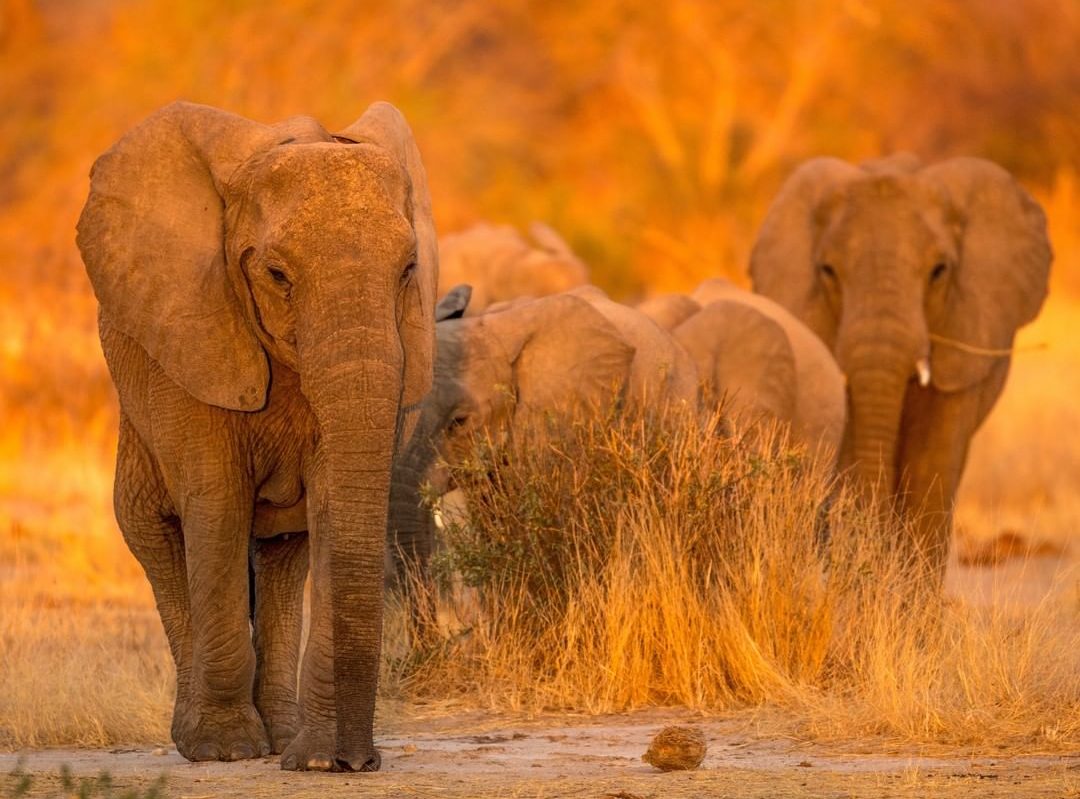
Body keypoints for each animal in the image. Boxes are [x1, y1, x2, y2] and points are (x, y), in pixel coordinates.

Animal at [73, 101, 436, 773]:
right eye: (277, 274)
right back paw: (204, 739)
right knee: (158, 538)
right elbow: (216, 505)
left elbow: (330, 506)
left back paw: (282, 733)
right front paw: (226, 750)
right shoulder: (194, 341)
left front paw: (313, 761)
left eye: (408, 271)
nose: (358, 762)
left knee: (284, 554)